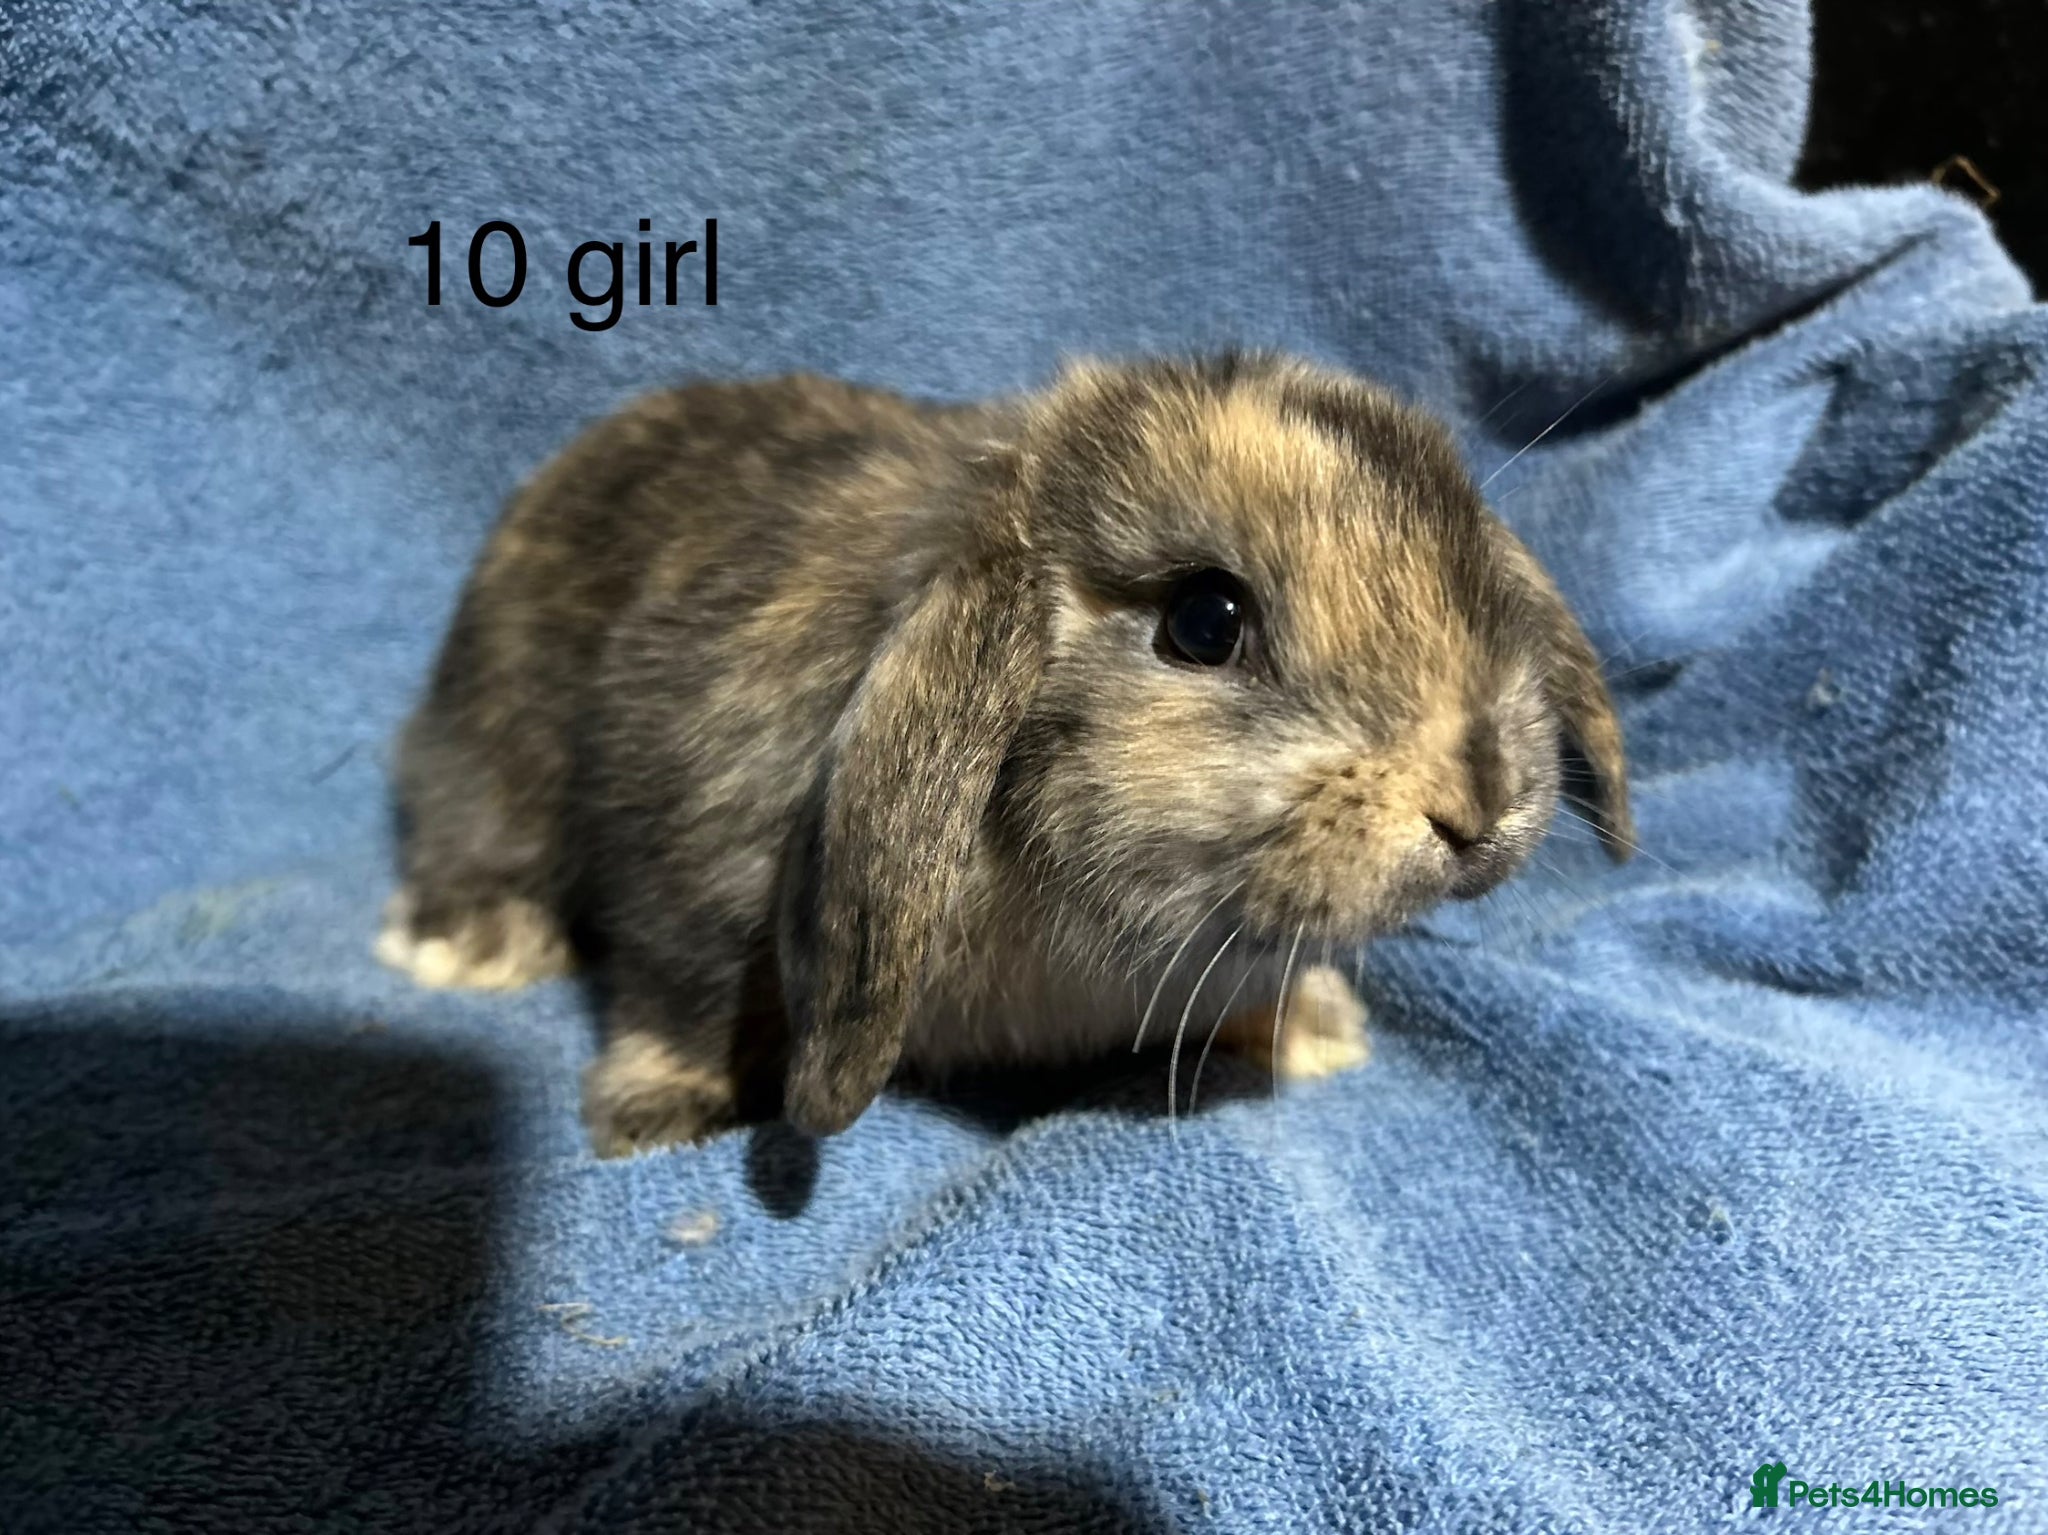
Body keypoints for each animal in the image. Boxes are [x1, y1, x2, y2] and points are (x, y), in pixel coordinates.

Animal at [377, 353, 1633, 1155]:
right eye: (1204, 621)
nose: (1482, 801)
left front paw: (1311, 1028)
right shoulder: (689, 864)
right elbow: (680, 999)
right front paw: (659, 1115)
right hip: (491, 745)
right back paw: (470, 943)